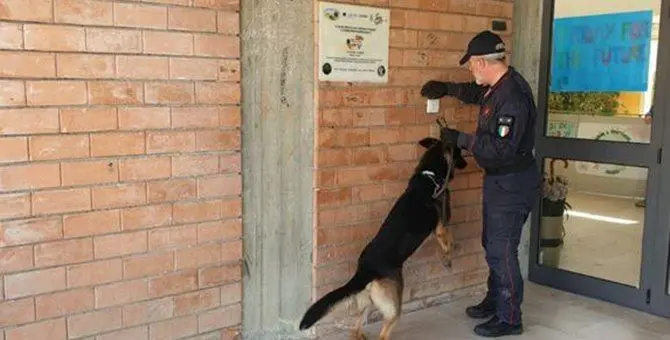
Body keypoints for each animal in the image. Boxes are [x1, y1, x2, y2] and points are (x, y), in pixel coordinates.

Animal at [302, 134, 470, 338]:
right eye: (459, 153)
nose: (467, 163)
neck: (430, 176)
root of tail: (364, 270)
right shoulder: (442, 227)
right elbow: (449, 243)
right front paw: (448, 258)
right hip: (393, 306)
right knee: (383, 332)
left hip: (368, 302)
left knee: (355, 328)